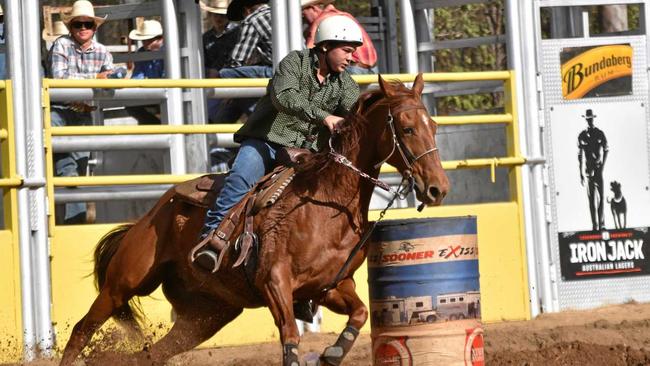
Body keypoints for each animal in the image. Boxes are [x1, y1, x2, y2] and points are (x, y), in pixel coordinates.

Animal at [59, 73, 446, 364]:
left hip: (207, 316)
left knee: (151, 354)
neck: (326, 205)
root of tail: (153, 212)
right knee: (81, 330)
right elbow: (290, 337)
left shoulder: (330, 287)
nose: (438, 188)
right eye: (407, 129)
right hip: (123, 283)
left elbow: (360, 313)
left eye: (434, 125)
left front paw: (332, 353)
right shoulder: (274, 280)